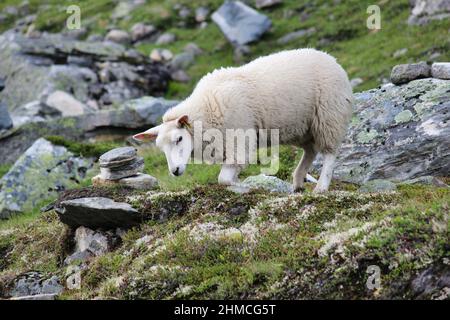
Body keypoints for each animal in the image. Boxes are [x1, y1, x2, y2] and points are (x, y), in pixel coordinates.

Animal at [135, 48, 354, 191]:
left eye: (179, 139)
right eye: (160, 147)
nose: (175, 171)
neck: (206, 110)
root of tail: (332, 59)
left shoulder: (239, 140)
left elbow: (223, 179)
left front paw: (242, 184)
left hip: (329, 116)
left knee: (329, 153)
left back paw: (321, 187)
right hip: (302, 127)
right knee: (310, 151)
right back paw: (298, 182)